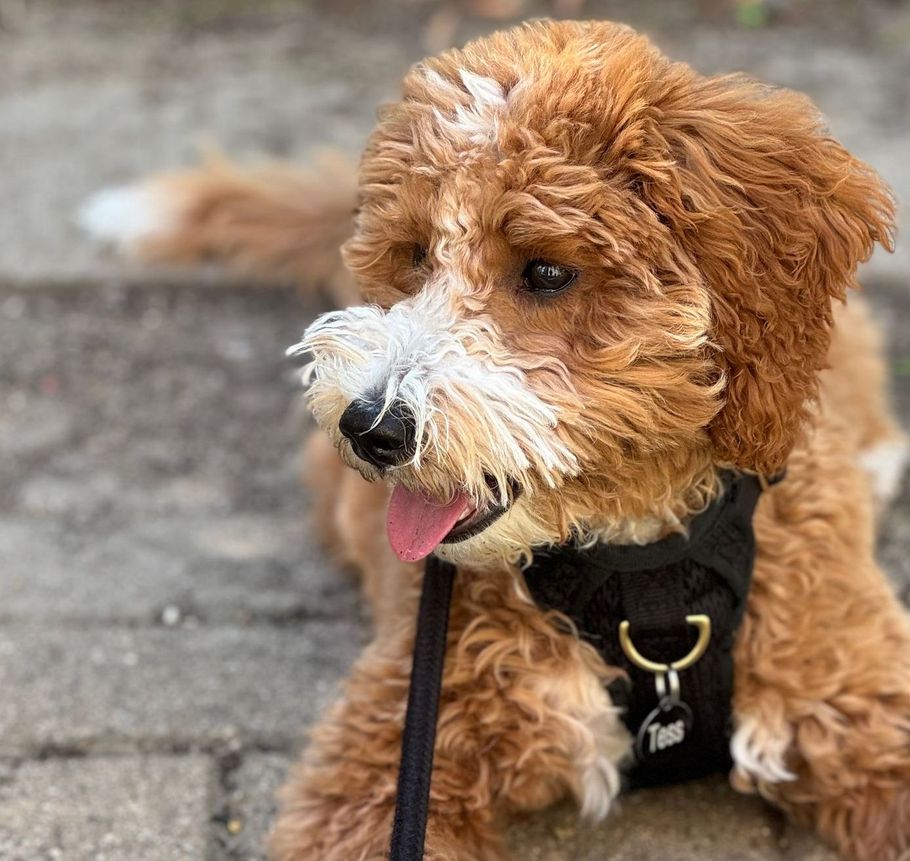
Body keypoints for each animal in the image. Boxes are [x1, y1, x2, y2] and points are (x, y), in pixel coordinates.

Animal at [83, 20, 910, 860]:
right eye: (416, 253)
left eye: (546, 271)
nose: (372, 427)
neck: (637, 556)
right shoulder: (388, 759)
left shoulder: (861, 694)